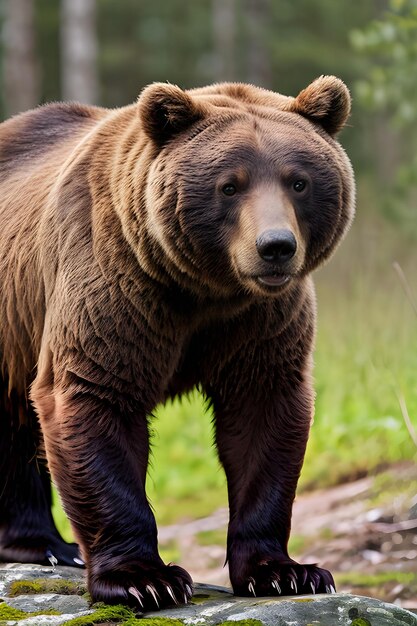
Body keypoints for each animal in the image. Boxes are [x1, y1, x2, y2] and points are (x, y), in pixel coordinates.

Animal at [0, 75, 354, 608]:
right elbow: (94, 396)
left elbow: (263, 414)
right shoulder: (115, 284)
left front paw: (285, 571)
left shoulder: (261, 321)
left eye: (299, 180)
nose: (275, 247)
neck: (205, 289)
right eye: (230, 184)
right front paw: (145, 579)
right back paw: (48, 546)